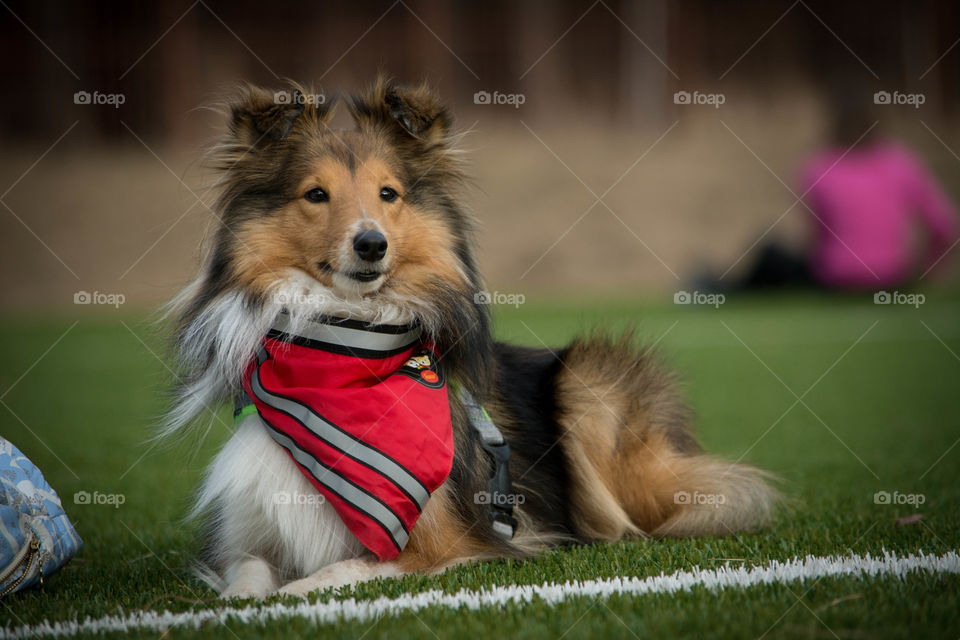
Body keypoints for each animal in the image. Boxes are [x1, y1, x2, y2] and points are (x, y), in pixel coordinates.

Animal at [165, 77, 776, 596]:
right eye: (315, 194)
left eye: (389, 194)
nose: (371, 244)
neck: (345, 342)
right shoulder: (247, 536)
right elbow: (246, 575)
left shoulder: (436, 544)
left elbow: (330, 573)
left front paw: (291, 594)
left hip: (590, 382)